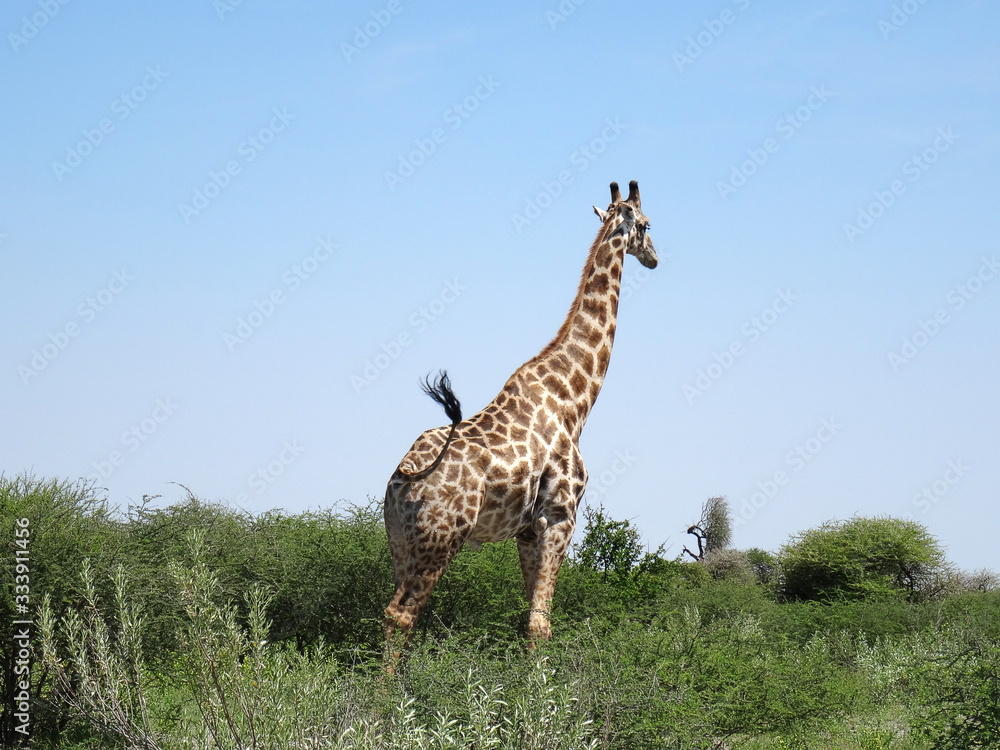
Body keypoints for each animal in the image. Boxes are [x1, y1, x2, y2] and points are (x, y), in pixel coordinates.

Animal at [383, 180, 657, 650]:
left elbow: (529, 618)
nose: (656, 257)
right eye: (647, 224)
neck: (574, 399)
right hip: (441, 538)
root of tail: (402, 478)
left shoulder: (527, 529)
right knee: (402, 615)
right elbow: (540, 625)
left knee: (389, 612)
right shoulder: (560, 515)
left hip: (399, 540)